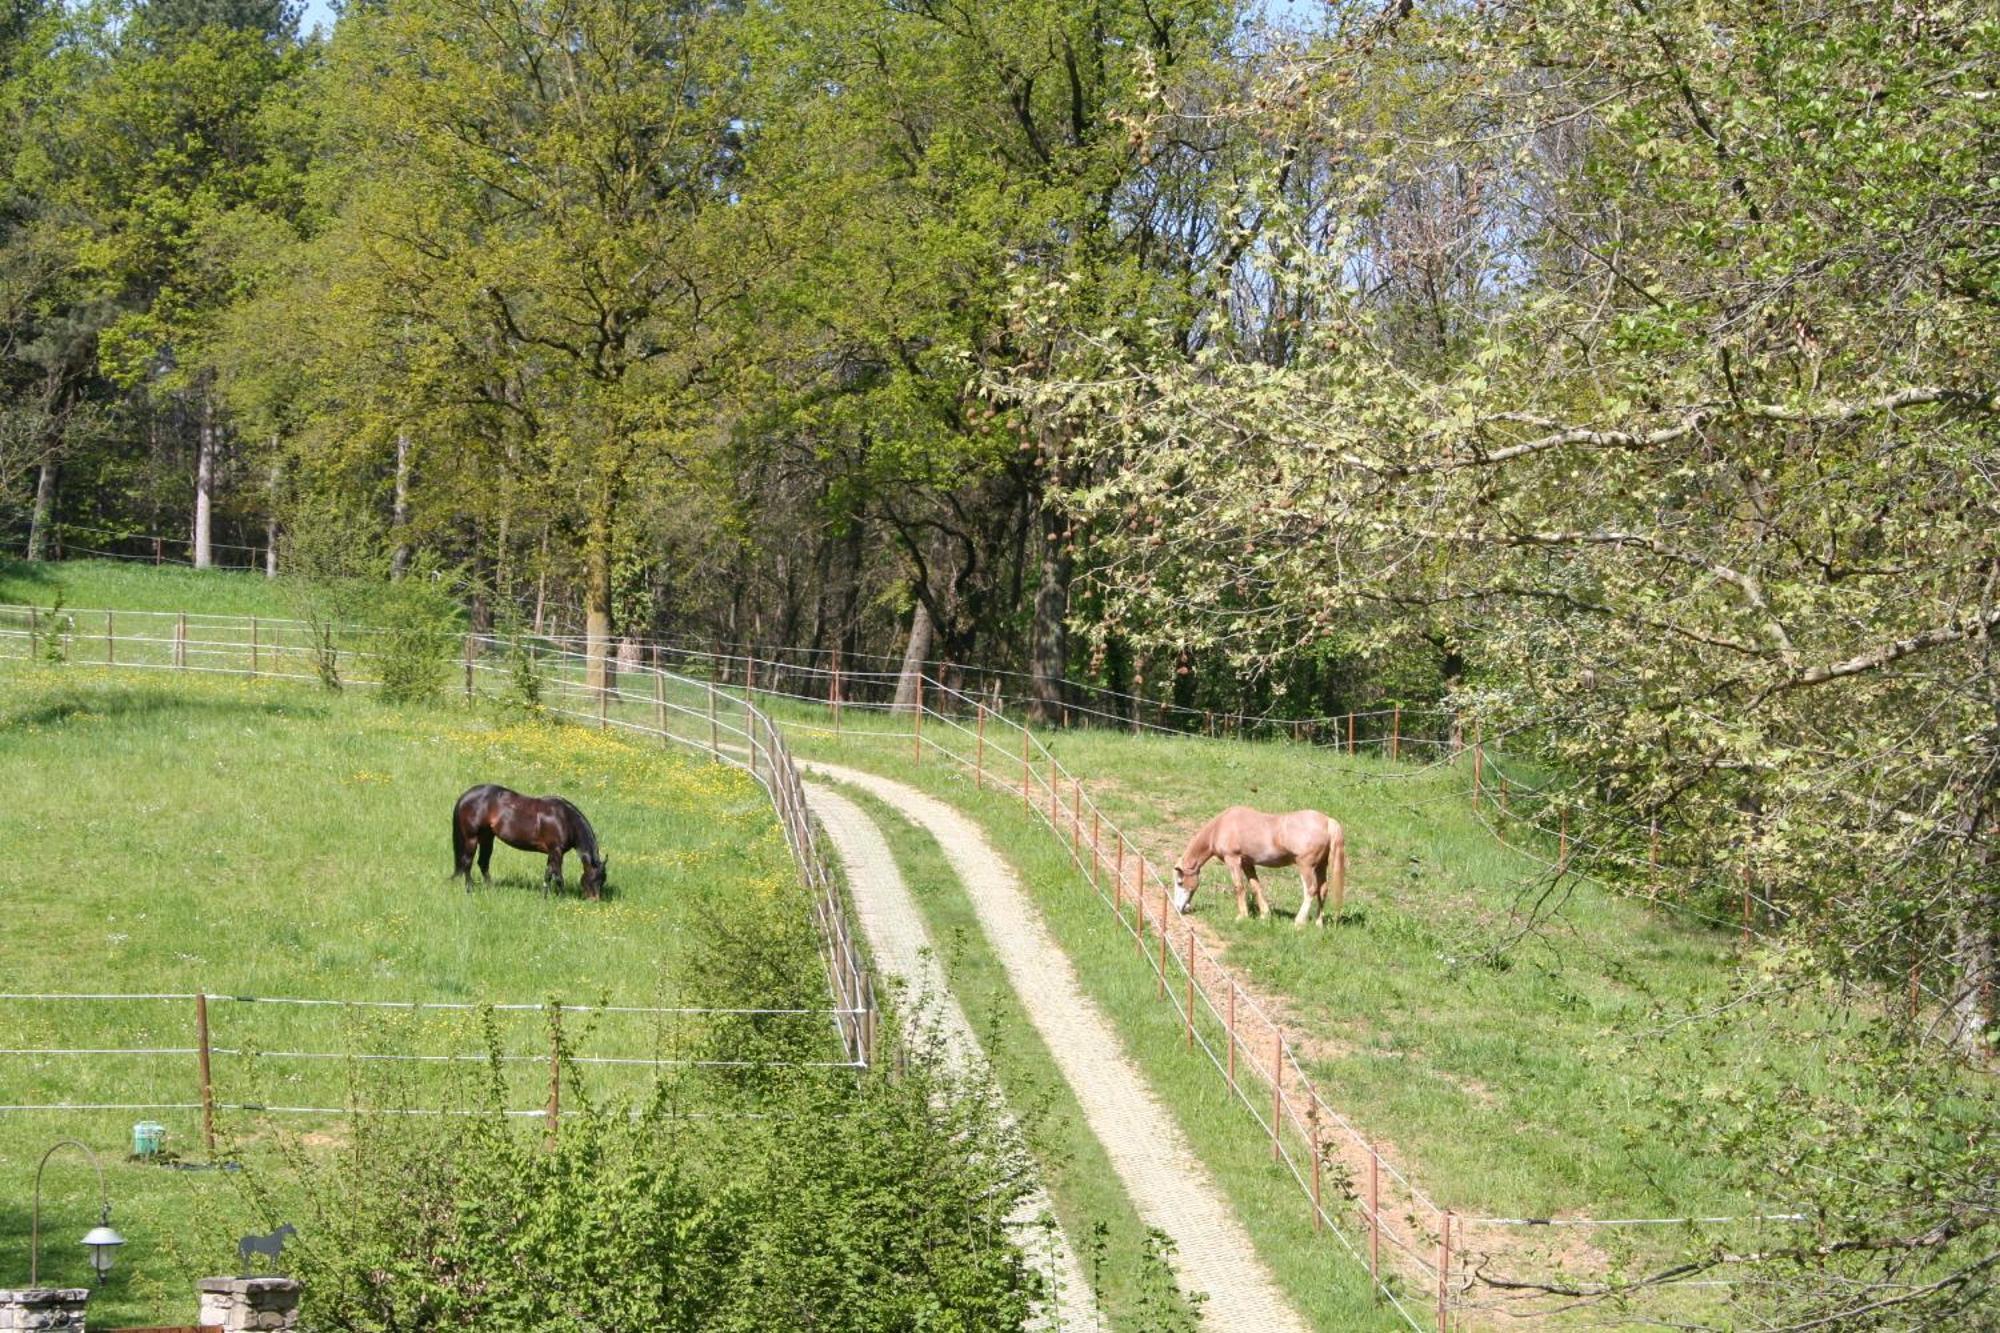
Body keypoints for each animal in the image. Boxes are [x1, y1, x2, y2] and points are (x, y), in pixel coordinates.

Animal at [454, 784, 608, 896]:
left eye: (603, 880)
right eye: (595, 879)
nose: (594, 900)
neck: (565, 819)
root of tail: (465, 796)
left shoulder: (551, 852)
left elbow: (548, 874)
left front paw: (545, 896)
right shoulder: (557, 851)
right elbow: (558, 877)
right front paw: (562, 897)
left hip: (487, 837)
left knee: (483, 863)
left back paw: (491, 888)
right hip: (472, 838)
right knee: (467, 863)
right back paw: (469, 889)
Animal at [1168, 800, 1344, 924]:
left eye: (1179, 882)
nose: (1178, 908)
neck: (1220, 827)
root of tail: (1328, 821)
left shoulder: (1233, 860)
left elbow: (1239, 887)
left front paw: (1242, 916)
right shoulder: (1247, 863)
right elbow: (1255, 886)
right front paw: (1265, 915)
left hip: (1306, 866)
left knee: (1311, 890)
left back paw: (1299, 922)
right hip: (1321, 866)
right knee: (1322, 890)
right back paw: (1318, 924)